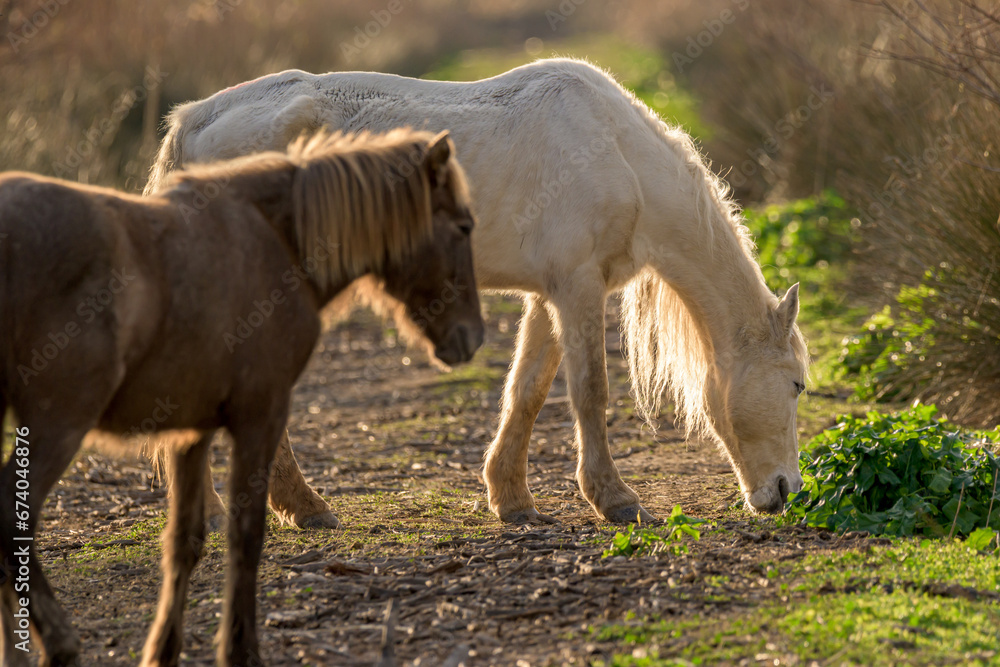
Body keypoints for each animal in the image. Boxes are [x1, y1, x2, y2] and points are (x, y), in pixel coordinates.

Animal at [0, 129, 483, 666]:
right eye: (463, 226)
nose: (472, 336)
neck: (275, 241)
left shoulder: (191, 431)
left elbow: (185, 542)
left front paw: (163, 651)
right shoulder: (260, 416)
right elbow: (246, 536)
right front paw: (239, 649)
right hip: (58, 424)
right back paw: (60, 642)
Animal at [146, 57, 809, 526]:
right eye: (799, 385)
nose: (785, 492)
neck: (617, 154)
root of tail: (193, 121)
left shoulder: (550, 296)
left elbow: (528, 391)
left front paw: (512, 499)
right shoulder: (578, 289)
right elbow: (589, 392)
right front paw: (616, 500)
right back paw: (280, 509)